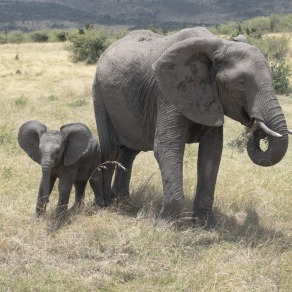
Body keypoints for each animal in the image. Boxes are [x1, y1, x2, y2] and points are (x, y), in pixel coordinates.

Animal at [93, 27, 290, 227]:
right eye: (242, 82)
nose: (256, 128)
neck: (218, 46)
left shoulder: (210, 97)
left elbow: (211, 152)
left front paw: (206, 225)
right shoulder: (169, 92)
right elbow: (167, 147)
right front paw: (166, 226)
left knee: (129, 152)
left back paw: (124, 203)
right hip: (99, 93)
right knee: (111, 148)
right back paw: (106, 204)